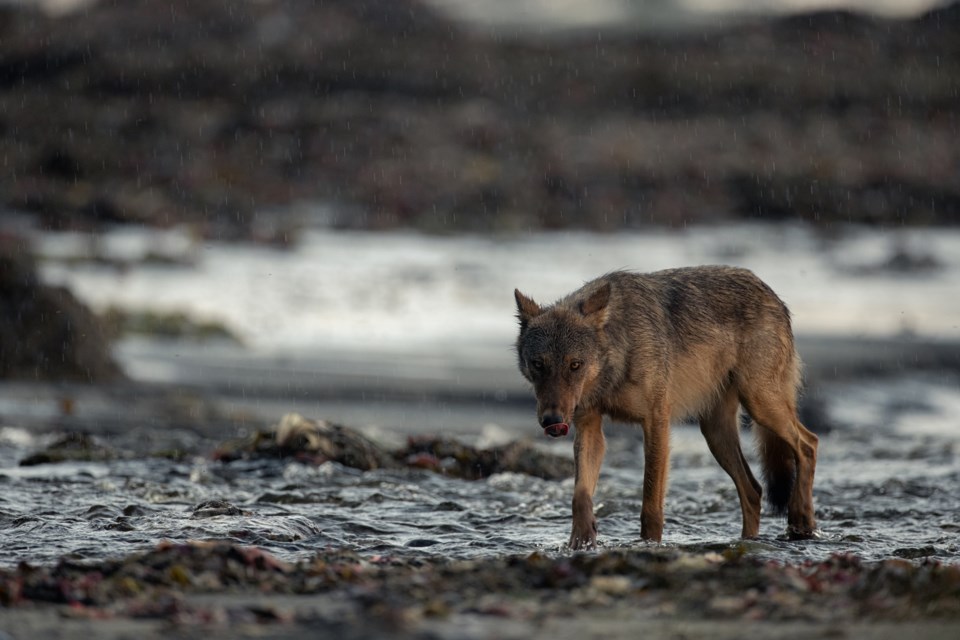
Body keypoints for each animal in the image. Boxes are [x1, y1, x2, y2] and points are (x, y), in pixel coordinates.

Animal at [512, 268, 820, 548]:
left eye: (575, 365)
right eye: (538, 364)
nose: (552, 420)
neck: (619, 356)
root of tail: (771, 293)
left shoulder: (656, 422)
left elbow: (650, 505)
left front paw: (649, 545)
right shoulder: (590, 428)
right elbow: (580, 495)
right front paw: (582, 541)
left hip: (761, 406)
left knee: (808, 444)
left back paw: (801, 520)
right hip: (716, 434)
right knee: (754, 491)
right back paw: (749, 541)